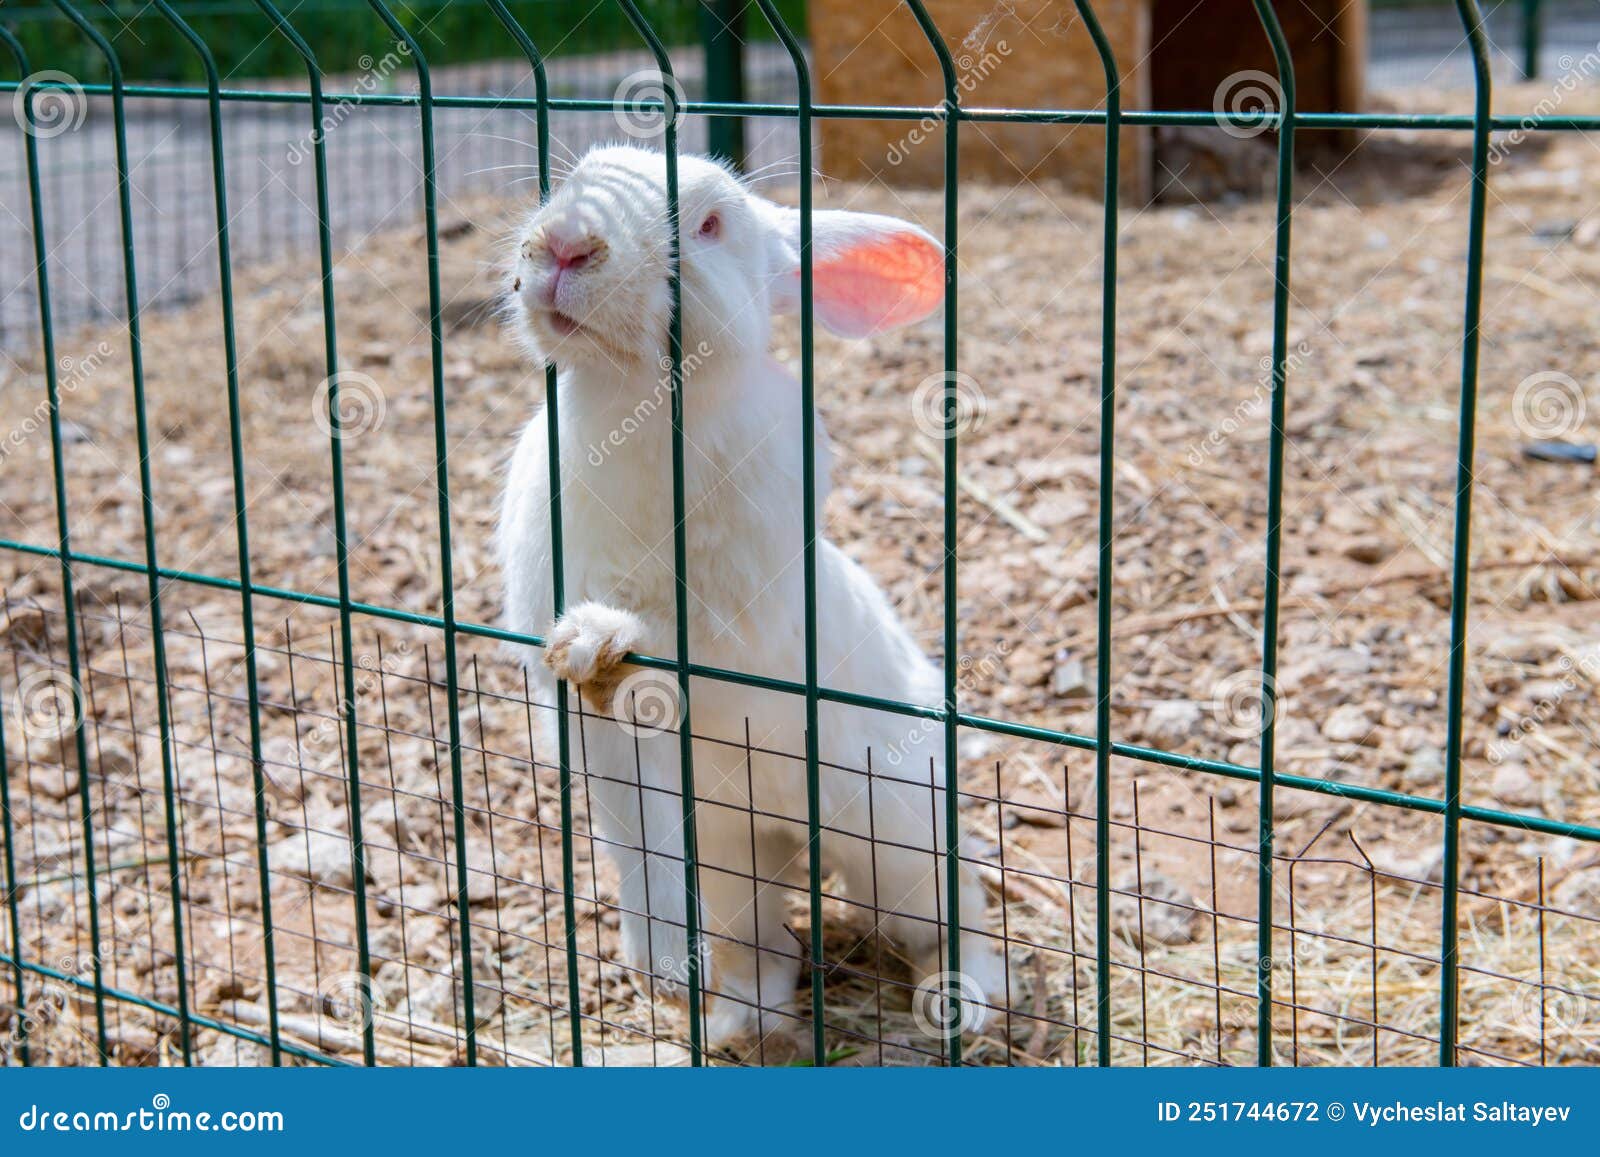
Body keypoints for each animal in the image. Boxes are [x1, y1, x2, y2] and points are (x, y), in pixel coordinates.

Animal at [496, 143, 1002, 1055]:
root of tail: (796, 839)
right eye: (576, 176)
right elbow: (633, 833)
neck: (632, 404)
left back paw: (962, 1001)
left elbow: (673, 642)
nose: (564, 244)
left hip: (900, 841)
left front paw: (599, 631)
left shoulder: (738, 617)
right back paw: (737, 1019)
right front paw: (660, 967)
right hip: (738, 862)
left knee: (957, 908)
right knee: (769, 946)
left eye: (708, 225)